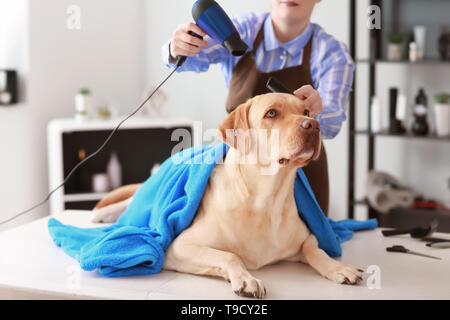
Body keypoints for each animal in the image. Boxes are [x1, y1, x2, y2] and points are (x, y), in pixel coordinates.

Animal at [93, 94, 364, 298]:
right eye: (271, 113)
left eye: (307, 110)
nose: (313, 125)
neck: (265, 200)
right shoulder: (177, 247)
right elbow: (230, 255)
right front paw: (247, 279)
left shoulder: (306, 237)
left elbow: (316, 250)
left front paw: (339, 268)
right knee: (125, 203)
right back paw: (102, 215)